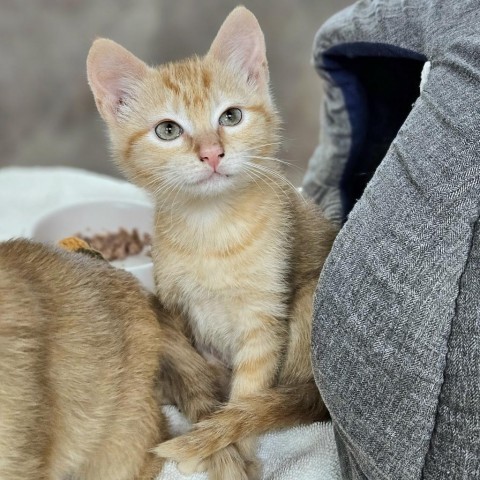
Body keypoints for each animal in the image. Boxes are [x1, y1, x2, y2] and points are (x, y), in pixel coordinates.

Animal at [88, 5, 338, 478]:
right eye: (168, 130)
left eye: (231, 117)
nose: (211, 153)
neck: (212, 230)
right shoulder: (177, 307)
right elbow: (193, 369)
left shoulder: (265, 320)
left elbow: (249, 396)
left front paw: (237, 450)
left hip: (309, 300)